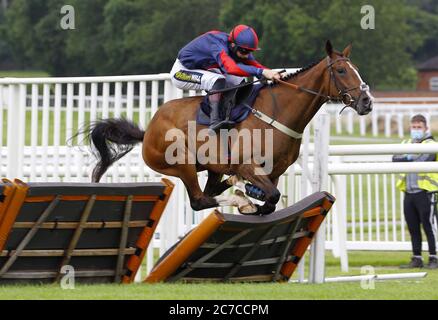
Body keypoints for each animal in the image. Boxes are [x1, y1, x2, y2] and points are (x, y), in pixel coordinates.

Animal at [85, 40, 372, 215]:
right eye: (341, 71)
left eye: (356, 69)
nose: (366, 101)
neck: (278, 111)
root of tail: (148, 132)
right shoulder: (248, 165)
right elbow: (271, 198)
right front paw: (249, 202)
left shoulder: (274, 171)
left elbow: (271, 198)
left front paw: (249, 195)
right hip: (180, 162)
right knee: (199, 200)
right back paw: (239, 199)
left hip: (210, 166)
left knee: (211, 190)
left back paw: (236, 189)